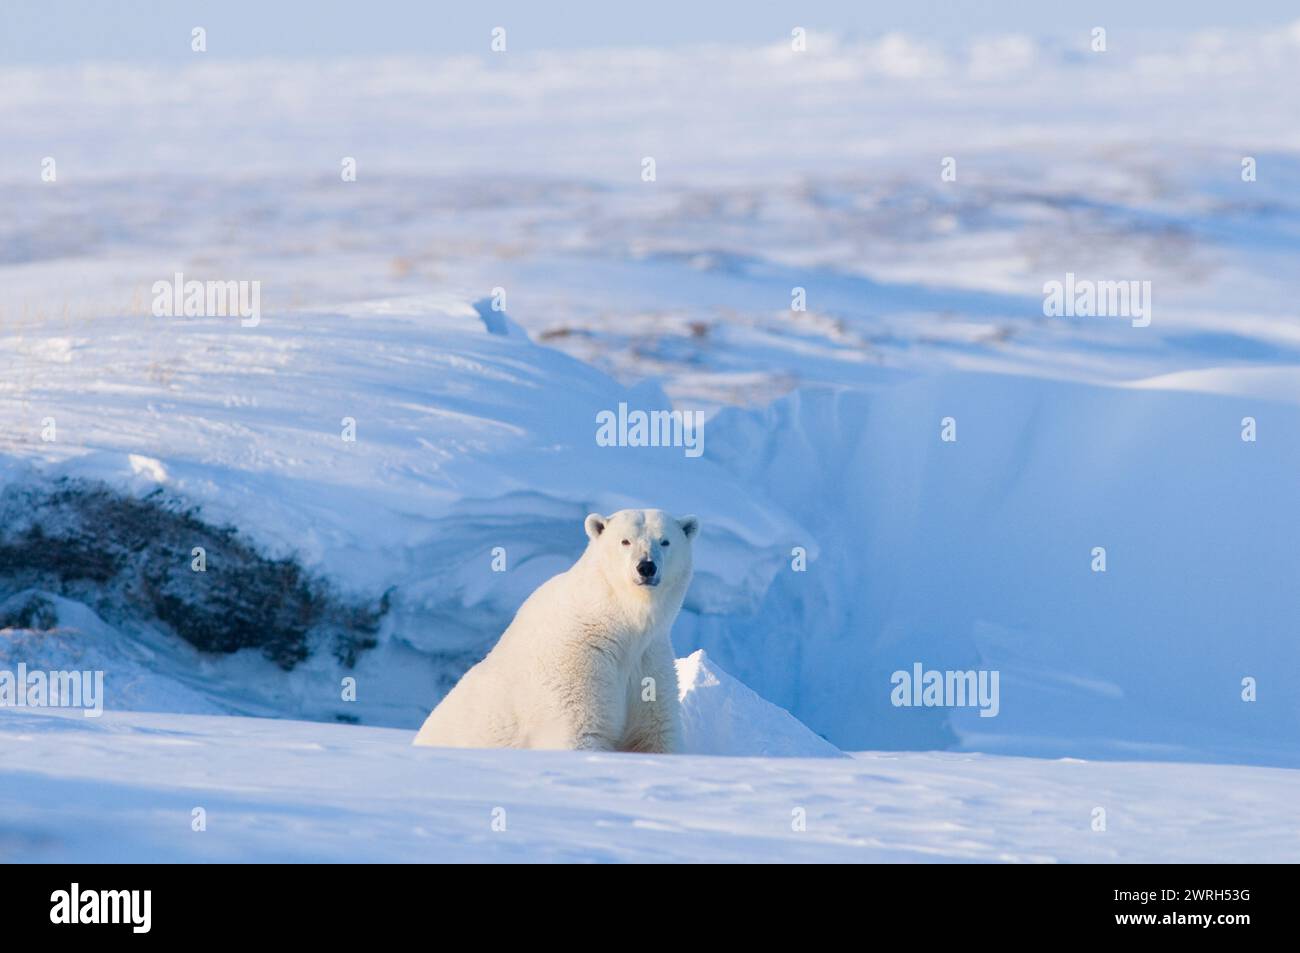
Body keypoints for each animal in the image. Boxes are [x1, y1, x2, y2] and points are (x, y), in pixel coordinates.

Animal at [416, 501, 702, 754]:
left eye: (665, 541)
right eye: (625, 541)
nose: (646, 566)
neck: (618, 622)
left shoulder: (649, 662)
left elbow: (655, 735)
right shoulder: (577, 659)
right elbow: (579, 731)